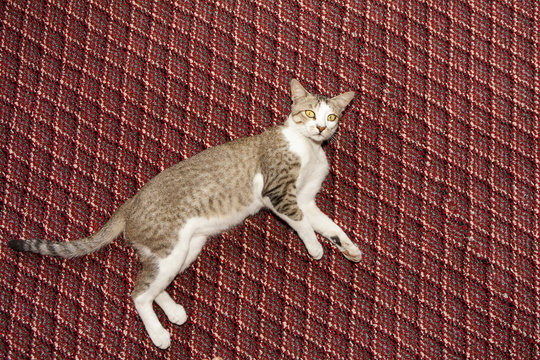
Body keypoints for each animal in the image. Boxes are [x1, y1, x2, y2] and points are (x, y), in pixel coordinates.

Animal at [8, 79, 360, 348]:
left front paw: (349, 248)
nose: (319, 128)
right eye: (309, 112)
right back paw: (159, 334)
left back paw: (174, 311)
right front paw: (315, 248)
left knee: (150, 283)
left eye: (331, 117)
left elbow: (329, 225)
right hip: (171, 248)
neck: (308, 147)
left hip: (183, 249)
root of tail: (130, 203)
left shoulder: (306, 198)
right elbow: (303, 225)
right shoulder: (277, 193)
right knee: (138, 294)